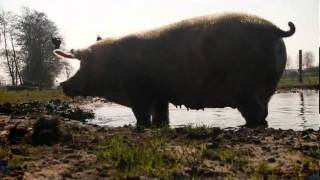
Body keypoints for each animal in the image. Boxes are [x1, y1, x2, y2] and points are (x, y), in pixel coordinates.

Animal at [53, 12, 296, 127]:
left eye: (83, 64)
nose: (62, 84)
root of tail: (275, 29)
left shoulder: (139, 92)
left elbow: (142, 117)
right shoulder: (160, 96)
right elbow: (161, 117)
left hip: (245, 88)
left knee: (257, 115)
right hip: (269, 85)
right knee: (264, 110)